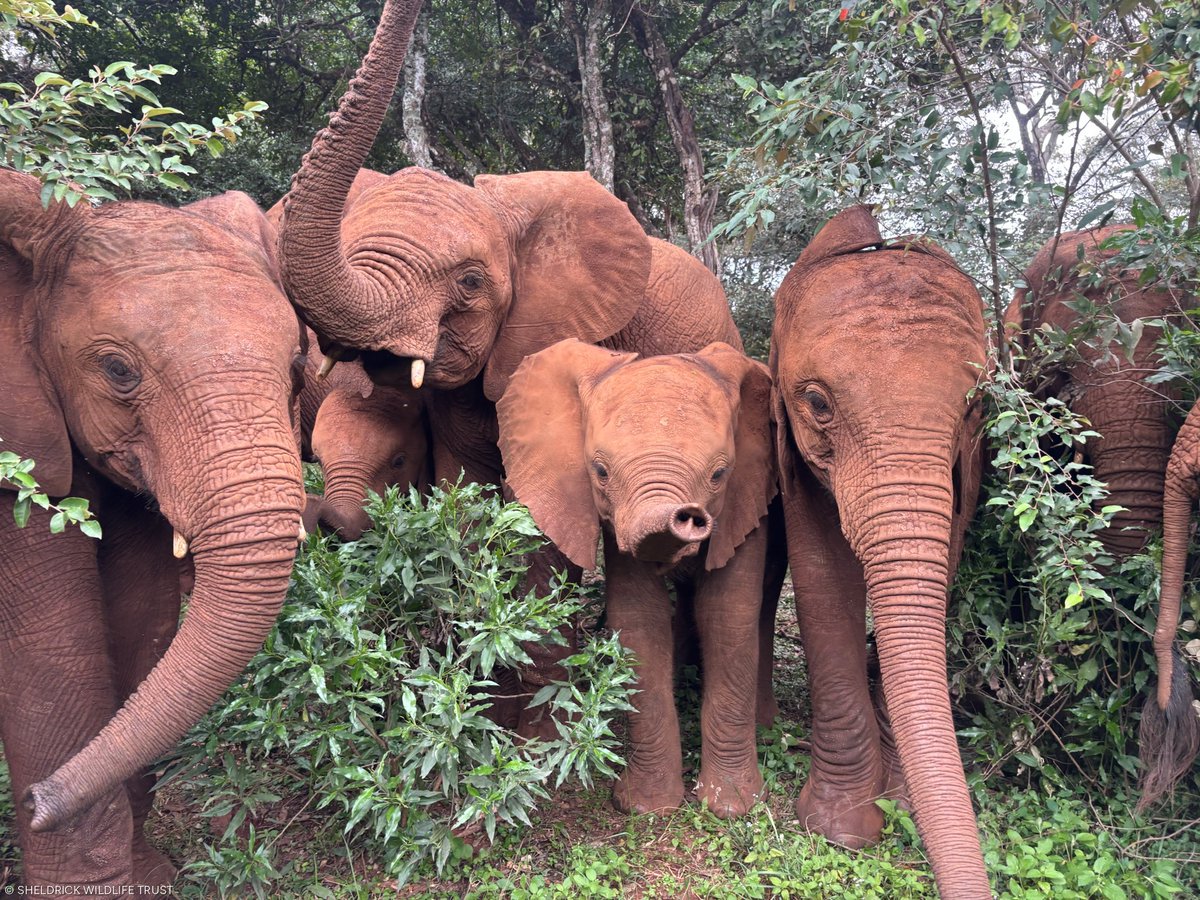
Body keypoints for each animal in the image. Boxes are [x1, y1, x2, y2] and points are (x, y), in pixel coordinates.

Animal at [0, 169, 306, 888]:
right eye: (117, 370)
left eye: (297, 367)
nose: (34, 801)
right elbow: (53, 646)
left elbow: (143, 618)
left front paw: (149, 878)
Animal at [497, 339, 777, 818]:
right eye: (600, 471)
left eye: (719, 474)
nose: (688, 517)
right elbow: (639, 617)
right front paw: (647, 809)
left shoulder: (747, 495)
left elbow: (729, 613)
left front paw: (734, 807)